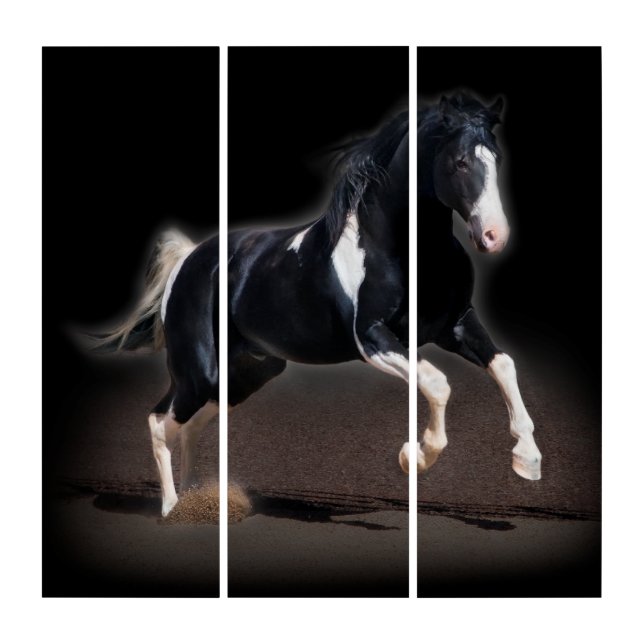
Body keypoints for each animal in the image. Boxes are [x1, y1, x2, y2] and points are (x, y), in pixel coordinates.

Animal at [91, 92, 541, 517]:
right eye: (461, 162)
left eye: (497, 159)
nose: (494, 236)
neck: (402, 249)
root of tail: (188, 260)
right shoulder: (372, 339)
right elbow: (437, 382)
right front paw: (414, 456)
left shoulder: (455, 324)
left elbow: (504, 365)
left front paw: (527, 461)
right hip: (198, 373)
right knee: (159, 422)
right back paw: (172, 509)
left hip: (246, 373)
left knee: (189, 426)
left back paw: (195, 503)